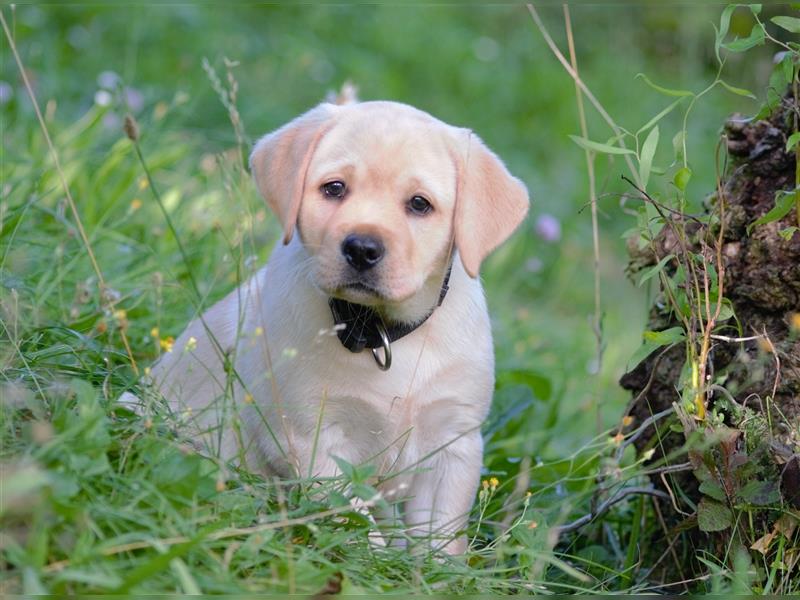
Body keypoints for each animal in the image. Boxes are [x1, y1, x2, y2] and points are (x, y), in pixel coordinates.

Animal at [148, 98, 528, 552]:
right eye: (334, 188)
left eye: (419, 204)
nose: (362, 248)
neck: (379, 331)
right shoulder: (313, 435)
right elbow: (354, 519)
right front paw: (376, 558)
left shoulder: (453, 442)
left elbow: (439, 535)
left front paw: (434, 567)